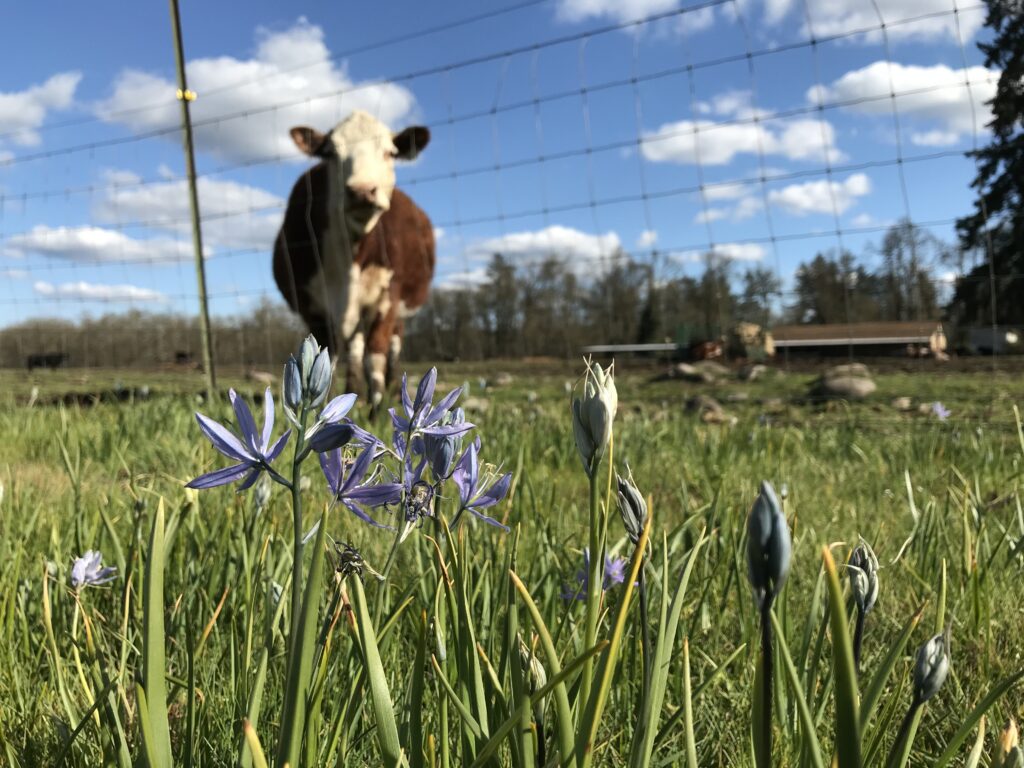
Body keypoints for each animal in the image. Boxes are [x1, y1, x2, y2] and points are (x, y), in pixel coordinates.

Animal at [273, 110, 435, 413]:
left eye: (390, 152)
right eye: (331, 153)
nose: (362, 190)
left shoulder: (388, 296)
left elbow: (377, 353)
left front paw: (376, 409)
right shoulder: (313, 307)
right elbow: (330, 355)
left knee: (391, 346)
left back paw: (393, 390)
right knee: (356, 348)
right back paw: (354, 390)